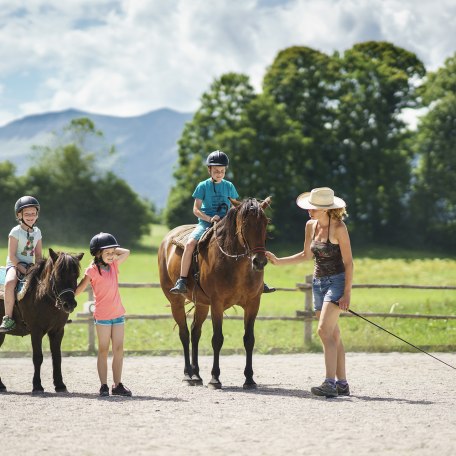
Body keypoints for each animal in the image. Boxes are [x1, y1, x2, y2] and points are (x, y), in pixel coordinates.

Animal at [0, 248, 83, 394]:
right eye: (57, 275)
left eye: (76, 275)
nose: (69, 304)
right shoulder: (36, 331)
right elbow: (38, 357)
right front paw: (37, 386)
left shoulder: (57, 331)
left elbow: (57, 357)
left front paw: (60, 385)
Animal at [159, 196, 270, 388]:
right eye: (245, 224)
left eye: (265, 223)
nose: (259, 261)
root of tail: (167, 240)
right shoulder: (217, 304)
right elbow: (217, 339)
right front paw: (215, 378)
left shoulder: (253, 303)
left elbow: (249, 339)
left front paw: (249, 379)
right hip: (176, 302)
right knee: (184, 333)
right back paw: (188, 375)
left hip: (202, 304)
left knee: (195, 332)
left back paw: (196, 375)